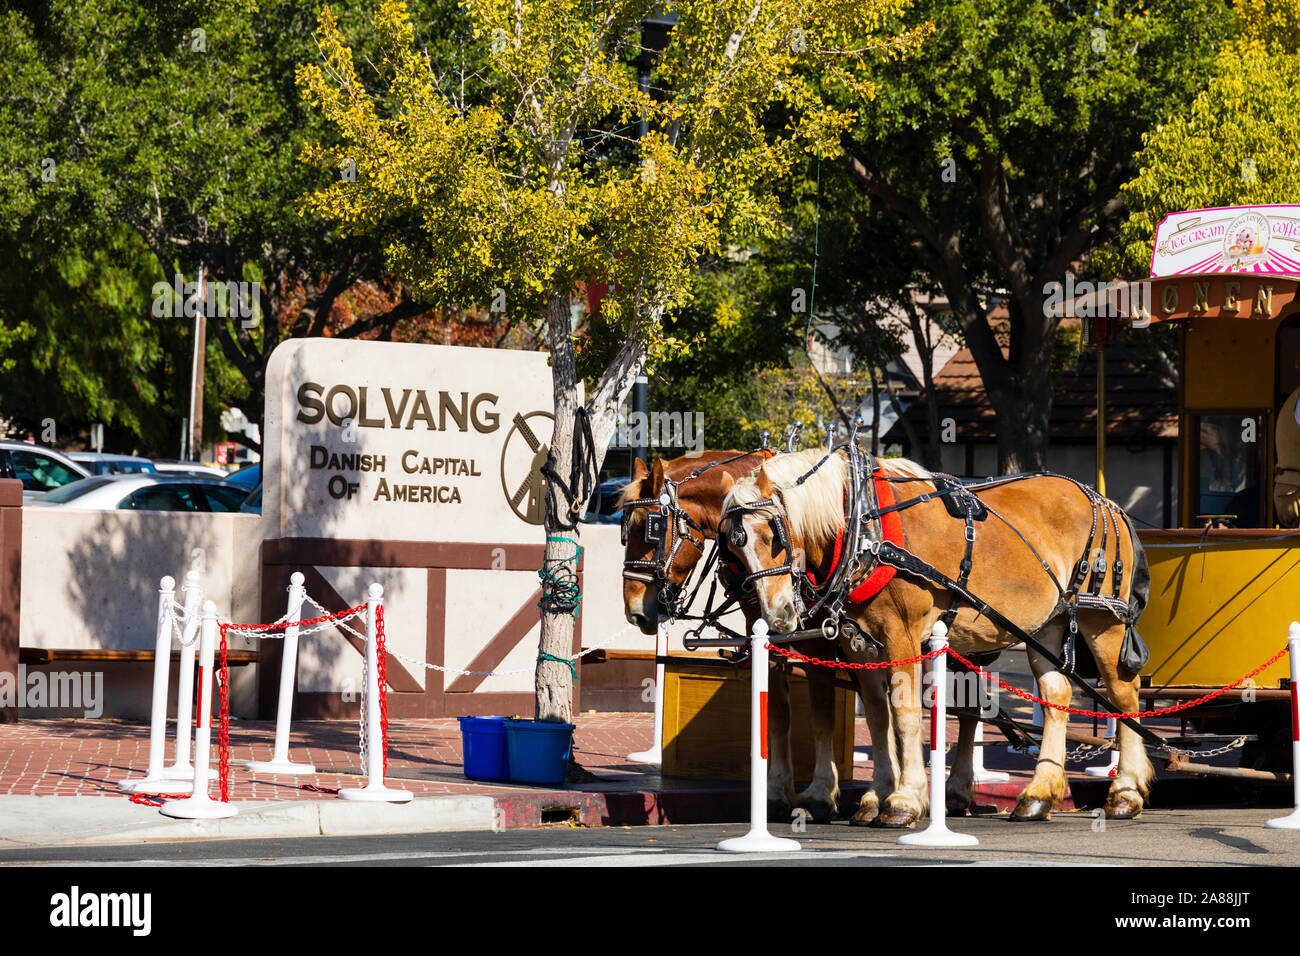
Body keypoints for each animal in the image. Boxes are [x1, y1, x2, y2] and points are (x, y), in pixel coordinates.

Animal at [718, 447, 1155, 826]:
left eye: (774, 536)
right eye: (734, 554)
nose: (777, 616)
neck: (866, 526)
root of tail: (1107, 503)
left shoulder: (901, 634)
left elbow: (906, 714)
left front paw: (905, 800)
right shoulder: (859, 643)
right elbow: (877, 715)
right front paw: (876, 795)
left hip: (1101, 621)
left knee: (1123, 695)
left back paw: (1125, 791)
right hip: (1046, 627)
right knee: (1055, 696)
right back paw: (1038, 796)